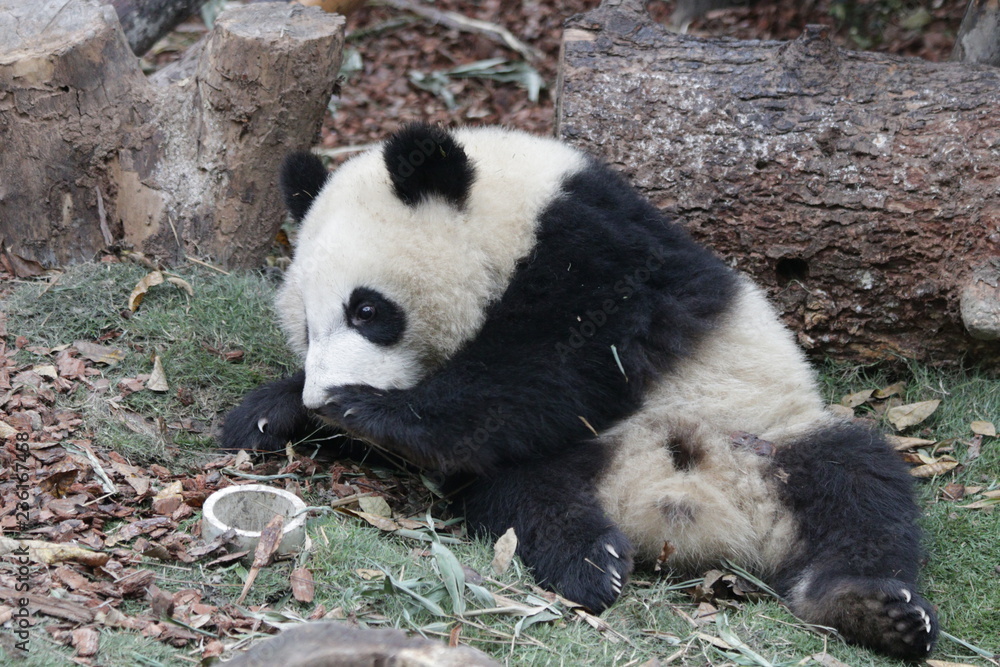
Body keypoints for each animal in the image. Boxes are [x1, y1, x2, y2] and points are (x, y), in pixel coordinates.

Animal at [221, 124, 938, 659]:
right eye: (306, 324)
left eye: (367, 310)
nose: (323, 393)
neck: (516, 205)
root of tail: (682, 518)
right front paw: (267, 413)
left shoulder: (602, 252)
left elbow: (556, 358)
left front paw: (373, 411)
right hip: (573, 461)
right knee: (524, 493)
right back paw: (590, 561)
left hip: (766, 433)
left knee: (860, 484)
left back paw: (869, 607)